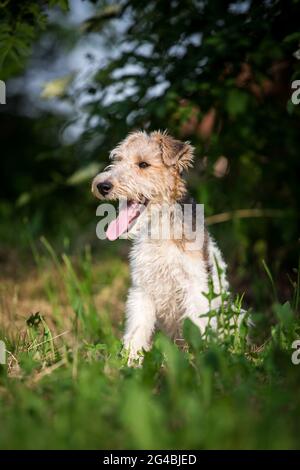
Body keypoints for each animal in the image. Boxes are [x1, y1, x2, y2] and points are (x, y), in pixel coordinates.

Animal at [92, 130, 229, 366]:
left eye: (143, 164)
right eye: (117, 160)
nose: (103, 186)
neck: (160, 231)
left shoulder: (194, 287)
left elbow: (198, 327)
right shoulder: (142, 290)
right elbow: (137, 330)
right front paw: (130, 362)